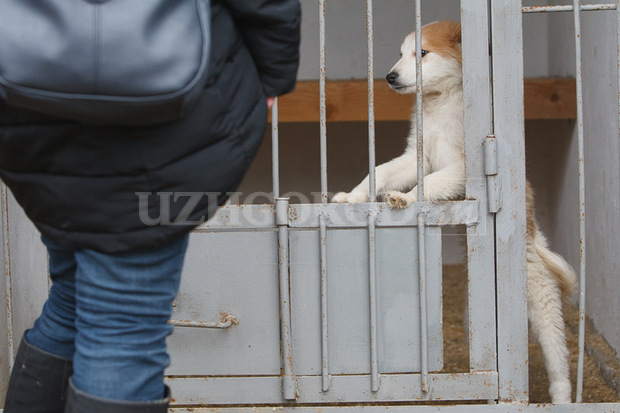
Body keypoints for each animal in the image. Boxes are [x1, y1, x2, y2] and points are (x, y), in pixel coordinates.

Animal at [332, 20, 580, 402]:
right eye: (401, 53)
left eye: (422, 53)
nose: (389, 76)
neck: (441, 103)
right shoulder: (415, 157)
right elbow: (380, 171)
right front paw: (352, 196)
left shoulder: (465, 166)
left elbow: (431, 181)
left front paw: (407, 200)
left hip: (539, 292)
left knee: (557, 357)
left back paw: (562, 397)